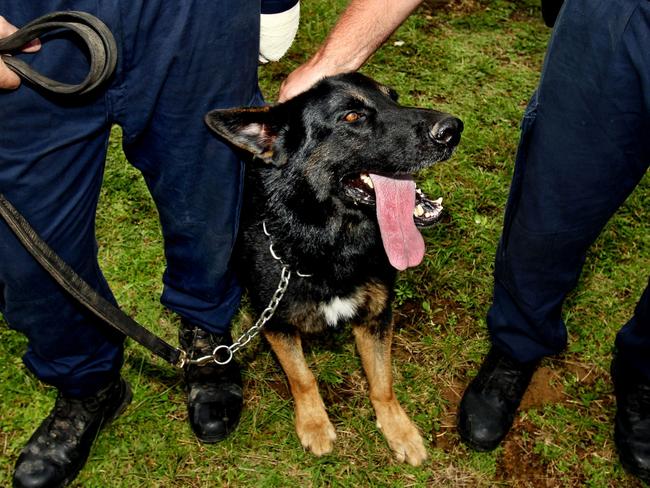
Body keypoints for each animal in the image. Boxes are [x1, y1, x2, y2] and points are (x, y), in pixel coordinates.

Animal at [204, 72, 460, 466]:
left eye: (393, 98)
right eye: (352, 117)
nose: (453, 129)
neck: (328, 248)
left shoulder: (377, 319)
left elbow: (382, 381)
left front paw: (398, 429)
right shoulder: (275, 324)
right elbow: (302, 377)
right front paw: (314, 423)